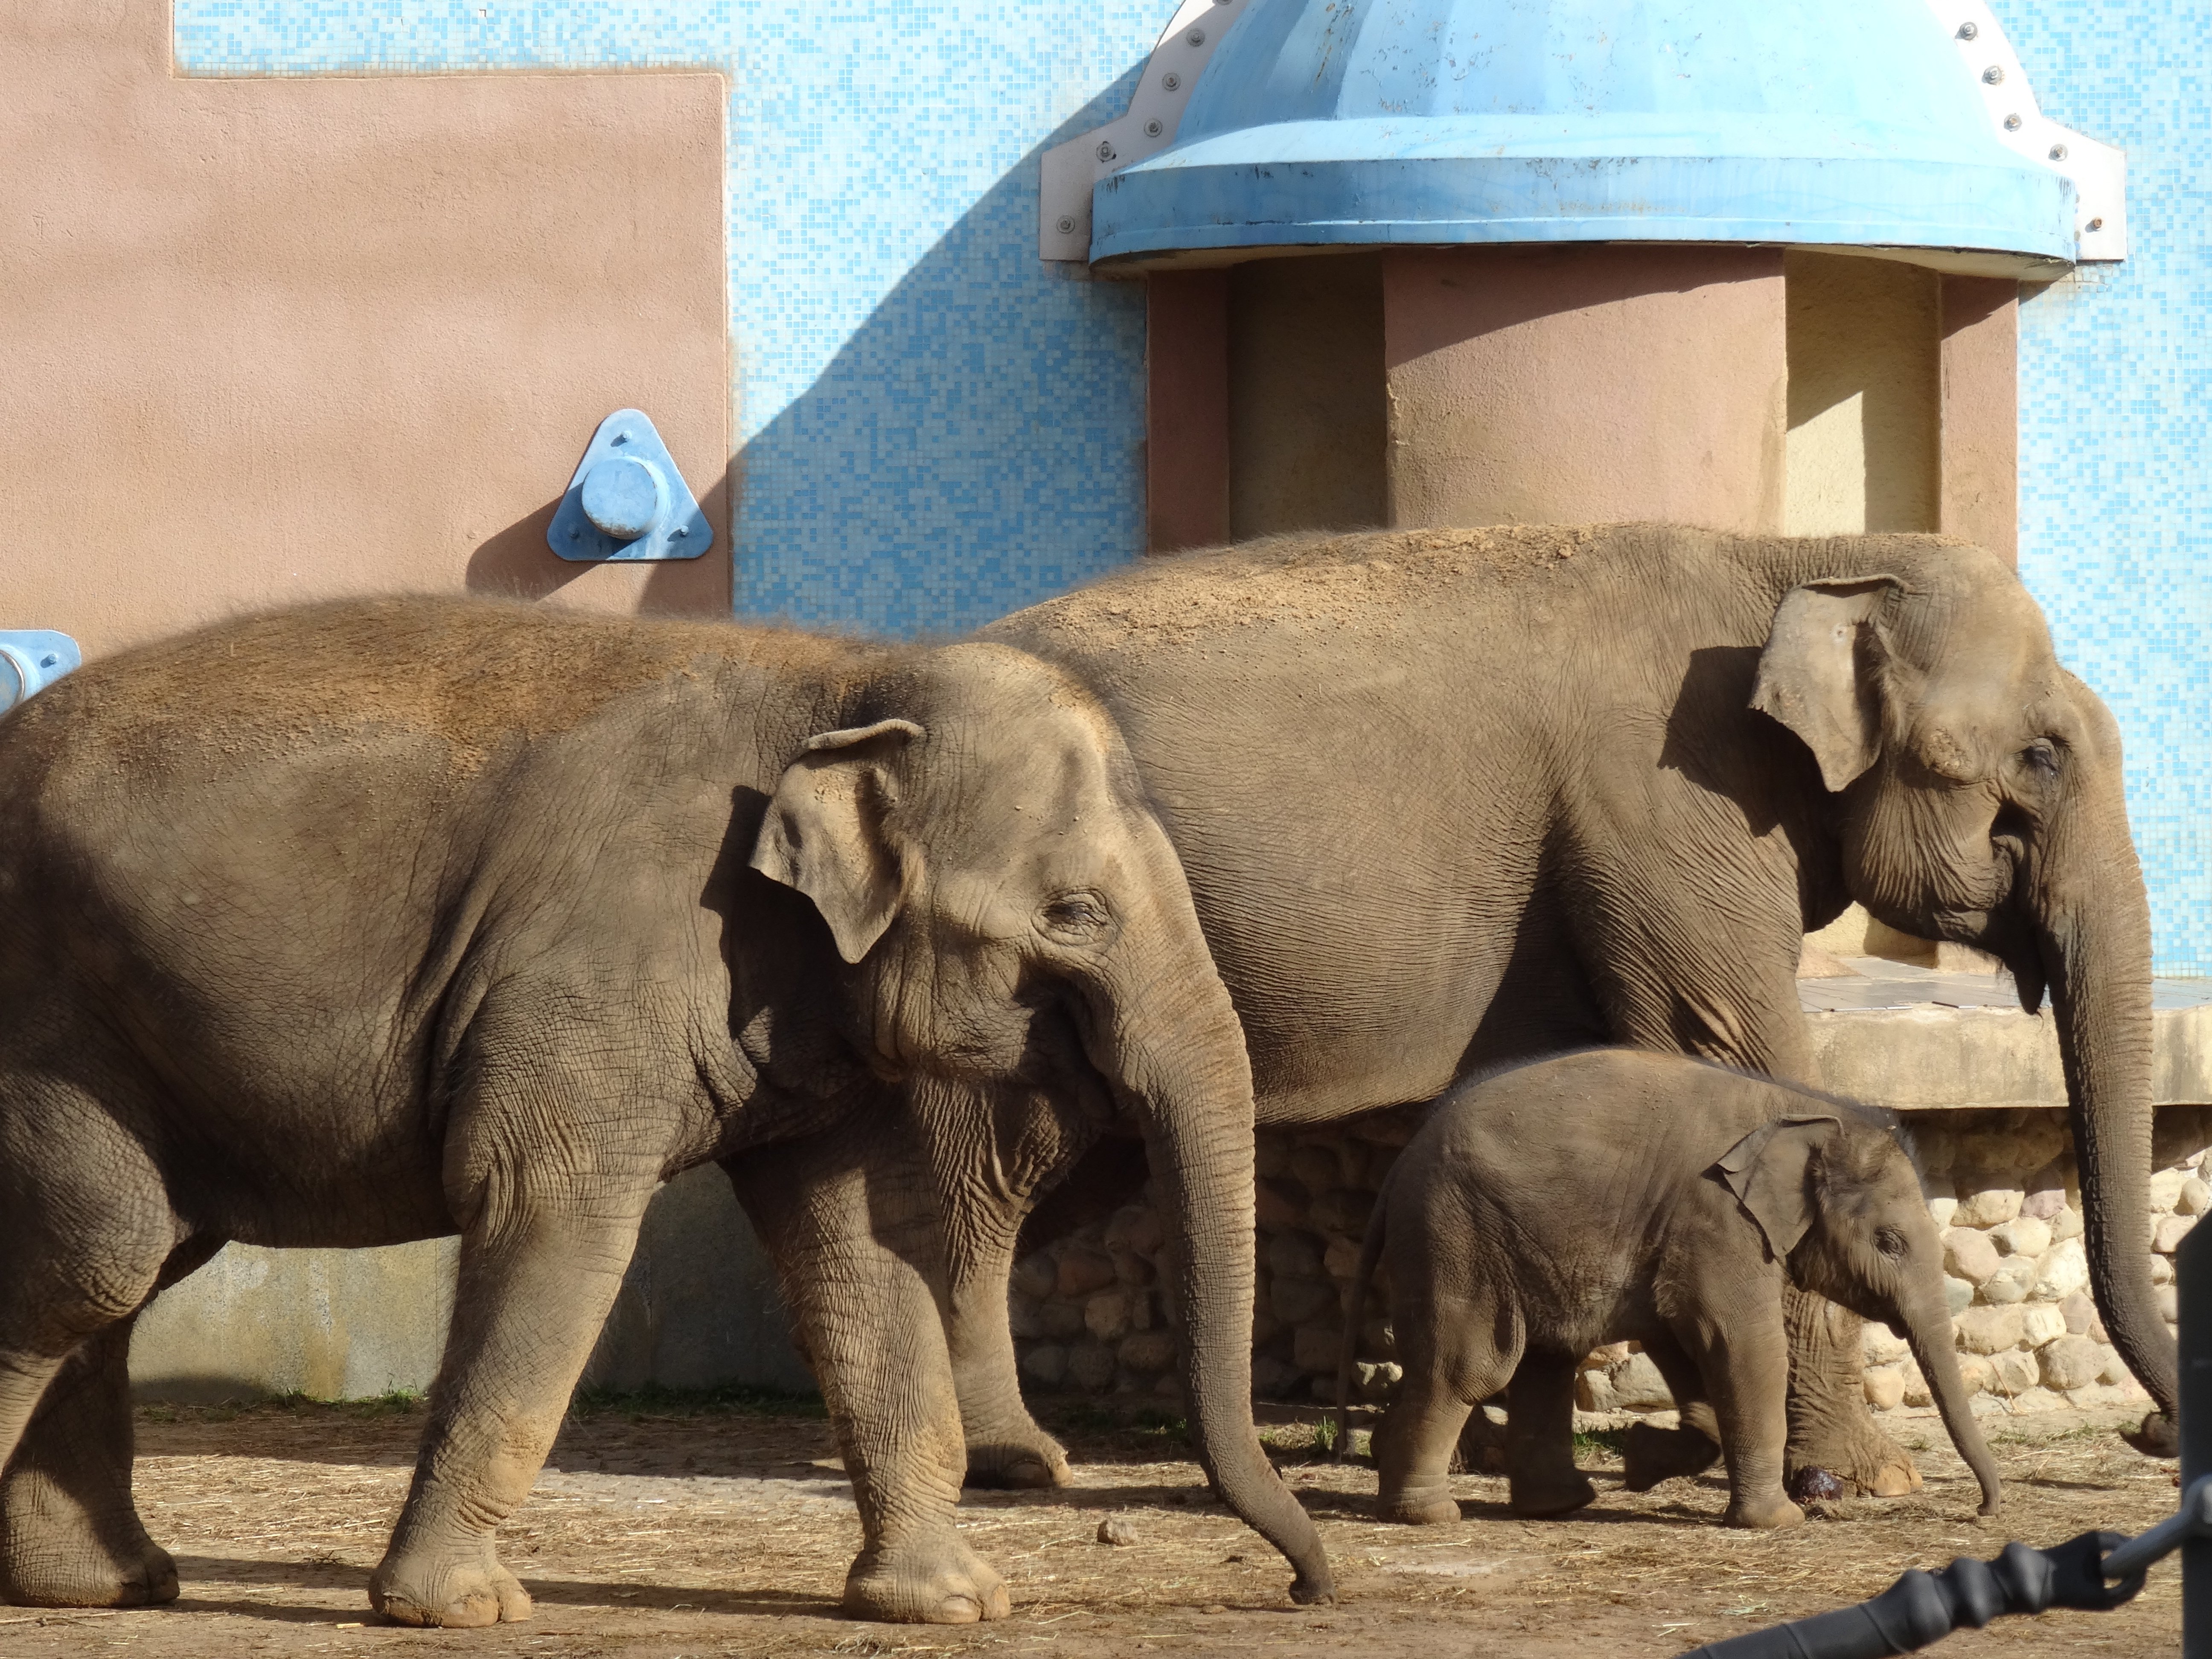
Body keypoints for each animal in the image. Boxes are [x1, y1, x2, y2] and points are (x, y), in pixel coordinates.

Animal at [0, 593, 1318, 1628]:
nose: (1310, 1587)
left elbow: (855, 1247)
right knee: (96, 1264)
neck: (842, 677)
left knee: (123, 1270)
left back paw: (104, 1589)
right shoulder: (597, 970)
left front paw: (953, 1601)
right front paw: (461, 1610)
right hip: (48, 1030)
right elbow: (547, 1211)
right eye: (1074, 915)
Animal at [1327, 1053, 2008, 1531]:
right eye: (1890, 1242)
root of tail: (1400, 1167)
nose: (1983, 1511)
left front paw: (1642, 1462)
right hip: (1457, 1235)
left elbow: (1683, 1341)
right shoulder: (1716, 1219)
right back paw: (1430, 1516)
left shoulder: (1678, 1237)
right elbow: (1741, 1342)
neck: (1802, 1110)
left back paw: (1560, 1506)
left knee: (1546, 1362)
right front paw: (1779, 1523)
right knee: (1470, 1370)